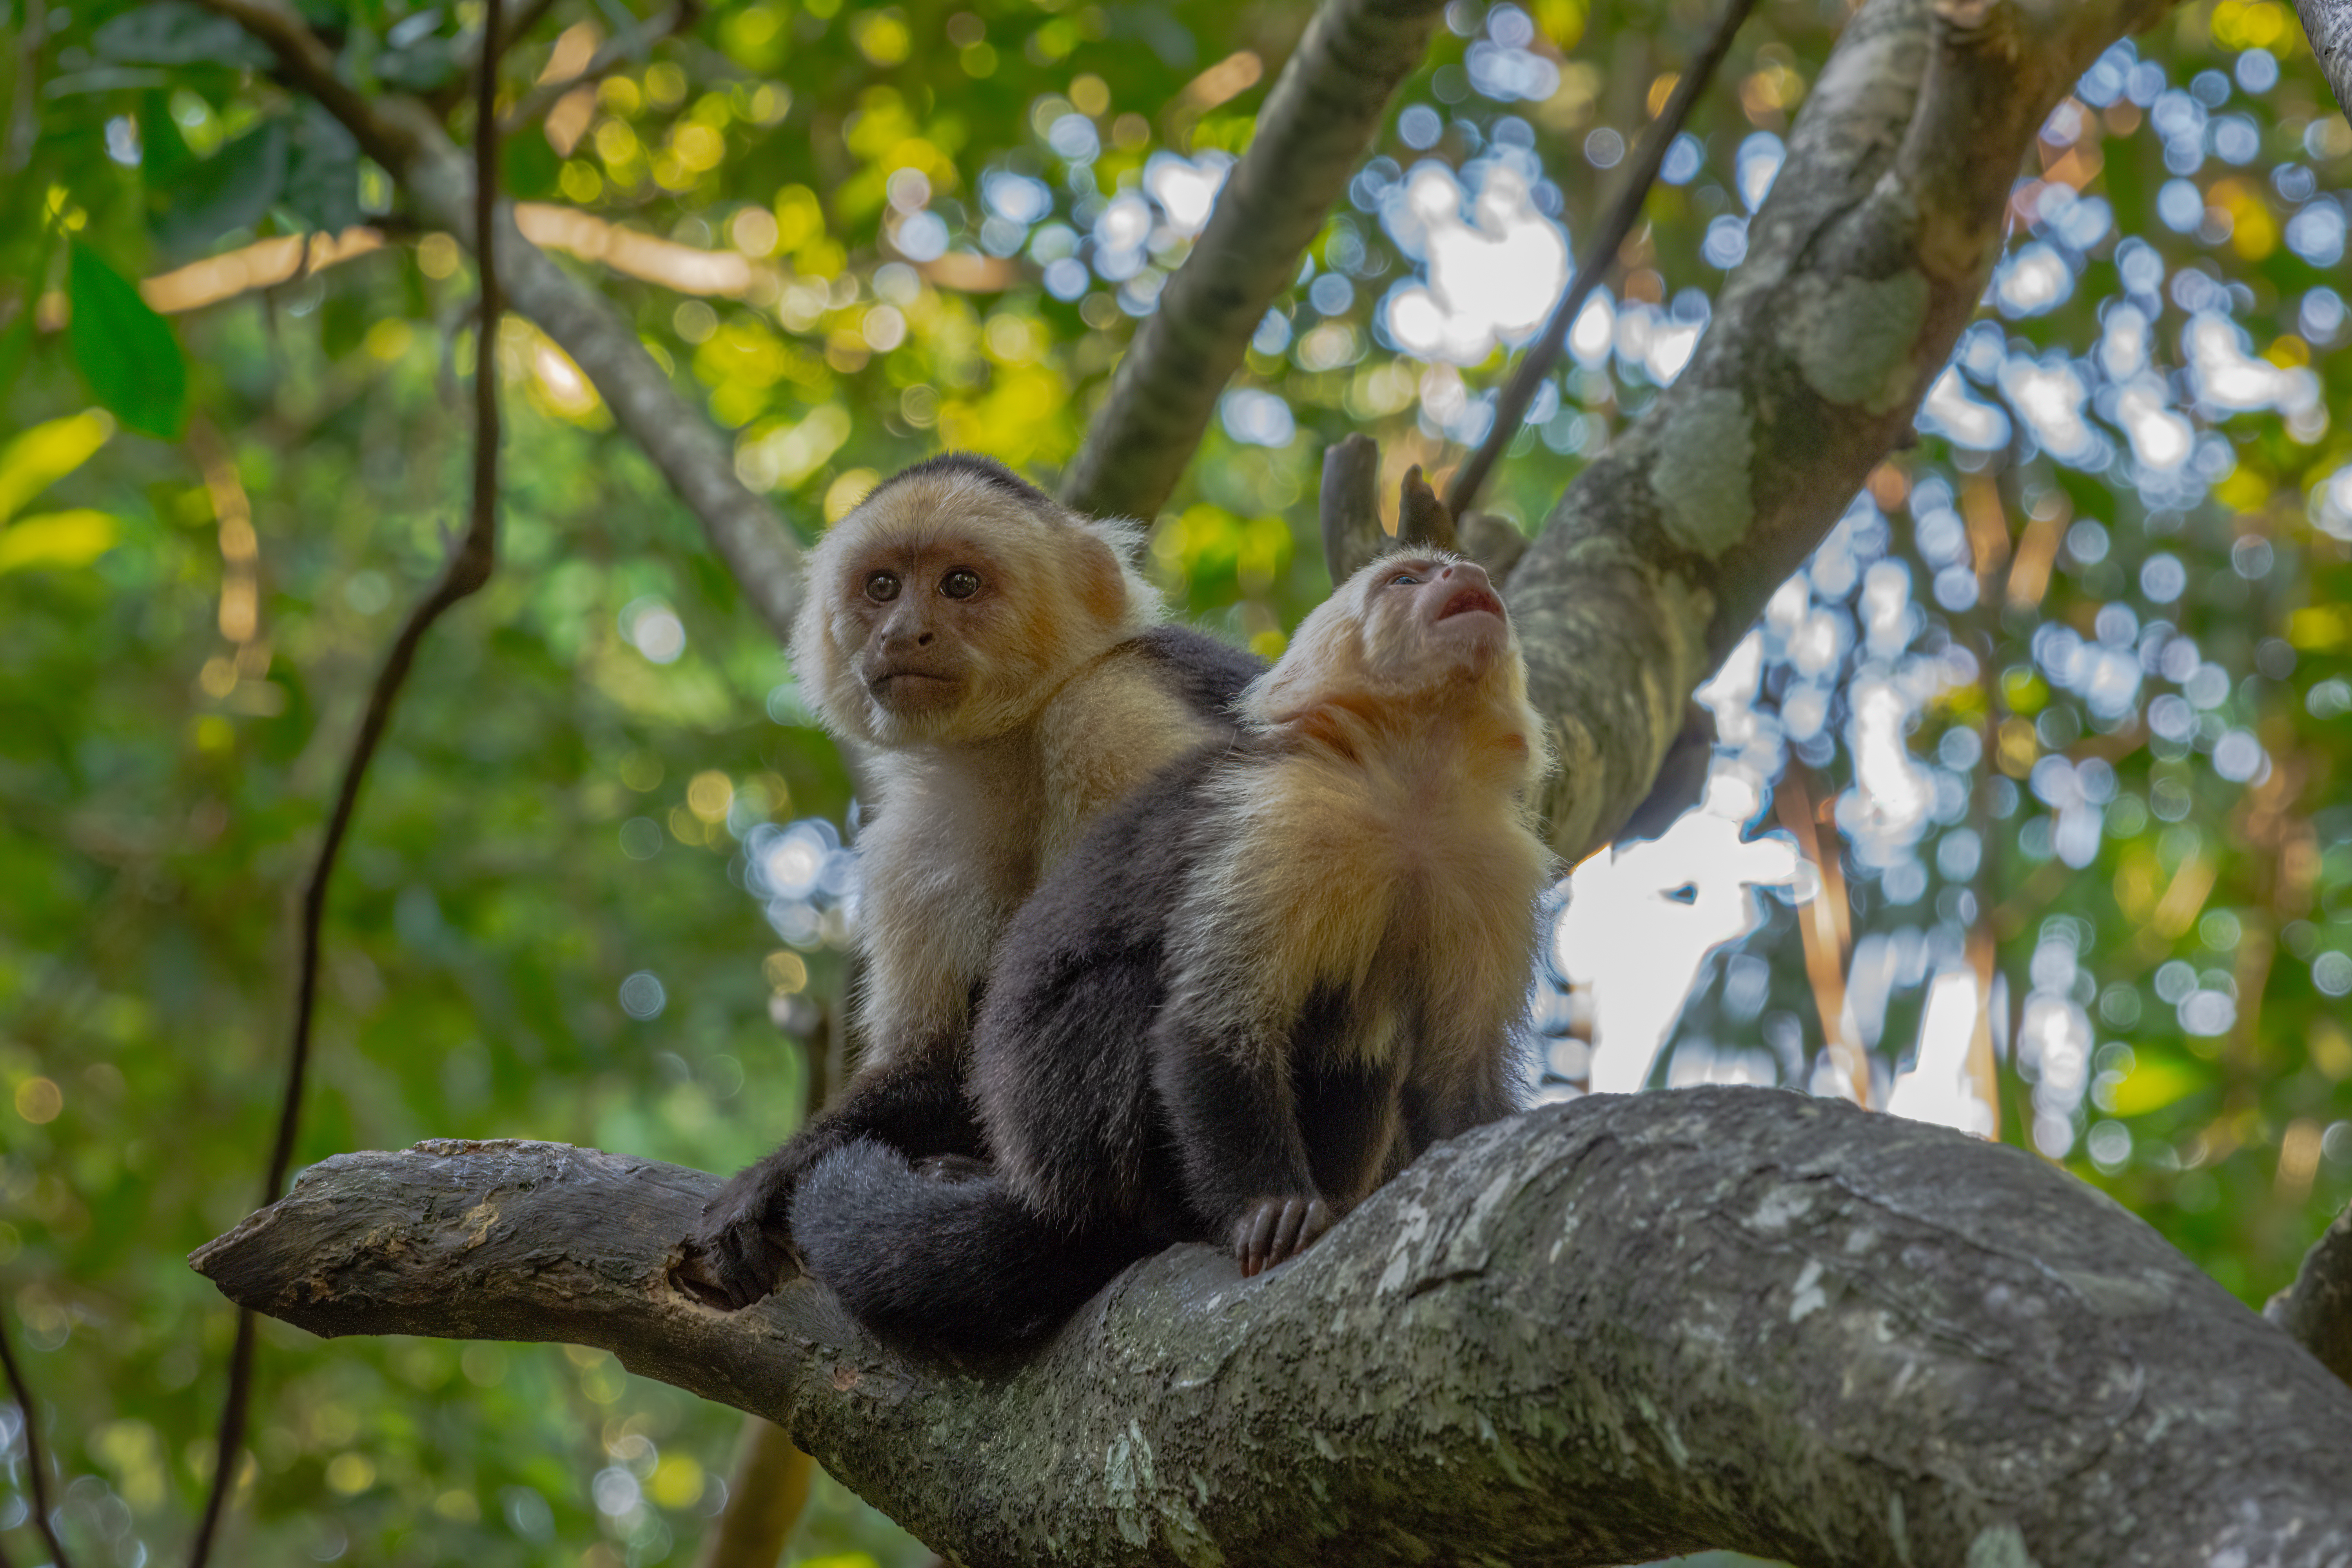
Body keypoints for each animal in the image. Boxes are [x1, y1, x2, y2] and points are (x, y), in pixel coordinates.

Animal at [679, 452, 1266, 1310]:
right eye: (882, 587)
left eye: (960, 584)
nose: (902, 632)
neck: (1017, 738)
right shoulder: (912, 841)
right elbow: (937, 1059)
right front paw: (782, 1173)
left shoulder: (1117, 709)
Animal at [786, 548, 1556, 1352]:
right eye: (1407, 581)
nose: (1469, 576)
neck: (1412, 792)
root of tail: (1041, 1191)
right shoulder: (1283, 812)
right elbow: (1210, 1028)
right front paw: (1268, 1208)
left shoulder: (1497, 861)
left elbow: (1457, 1079)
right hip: (1052, 1129)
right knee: (1123, 997)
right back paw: (1138, 1226)